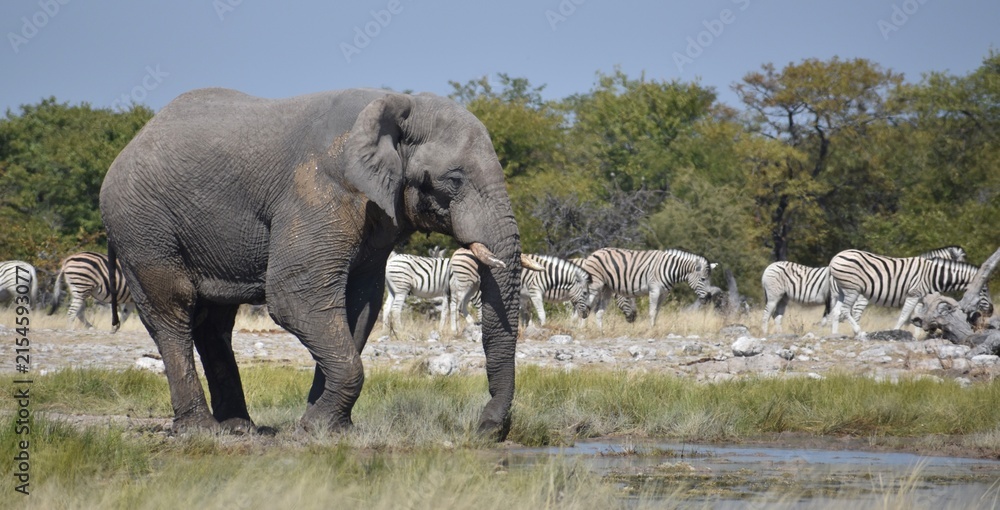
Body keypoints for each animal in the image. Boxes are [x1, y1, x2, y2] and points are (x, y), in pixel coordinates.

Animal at [99, 88, 524, 439]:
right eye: (454, 179)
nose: (486, 430)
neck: (396, 103)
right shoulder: (320, 189)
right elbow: (295, 297)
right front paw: (315, 429)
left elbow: (359, 305)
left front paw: (326, 428)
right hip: (142, 227)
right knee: (172, 311)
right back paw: (201, 431)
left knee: (214, 322)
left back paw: (239, 429)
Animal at [582, 248, 717, 327]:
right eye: (703, 279)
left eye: (709, 279)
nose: (709, 298)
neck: (670, 269)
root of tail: (593, 253)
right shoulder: (654, 290)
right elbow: (652, 311)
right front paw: (650, 329)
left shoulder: (664, 293)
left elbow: (657, 312)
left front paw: (654, 327)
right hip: (595, 285)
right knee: (586, 304)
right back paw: (583, 328)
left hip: (606, 288)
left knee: (597, 310)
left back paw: (600, 331)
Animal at [761, 246, 971, 335]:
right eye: (962, 260)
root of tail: (769, 266)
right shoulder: (862, 298)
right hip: (775, 294)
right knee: (767, 313)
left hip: (784, 297)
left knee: (777, 315)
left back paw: (778, 333)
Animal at [828, 249, 992, 336]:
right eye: (984, 290)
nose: (991, 310)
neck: (933, 275)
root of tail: (835, 257)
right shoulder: (914, 294)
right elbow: (904, 315)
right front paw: (895, 332)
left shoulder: (922, 298)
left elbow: (916, 316)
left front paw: (919, 332)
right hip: (853, 290)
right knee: (846, 310)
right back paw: (859, 331)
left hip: (842, 291)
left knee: (837, 311)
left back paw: (836, 334)